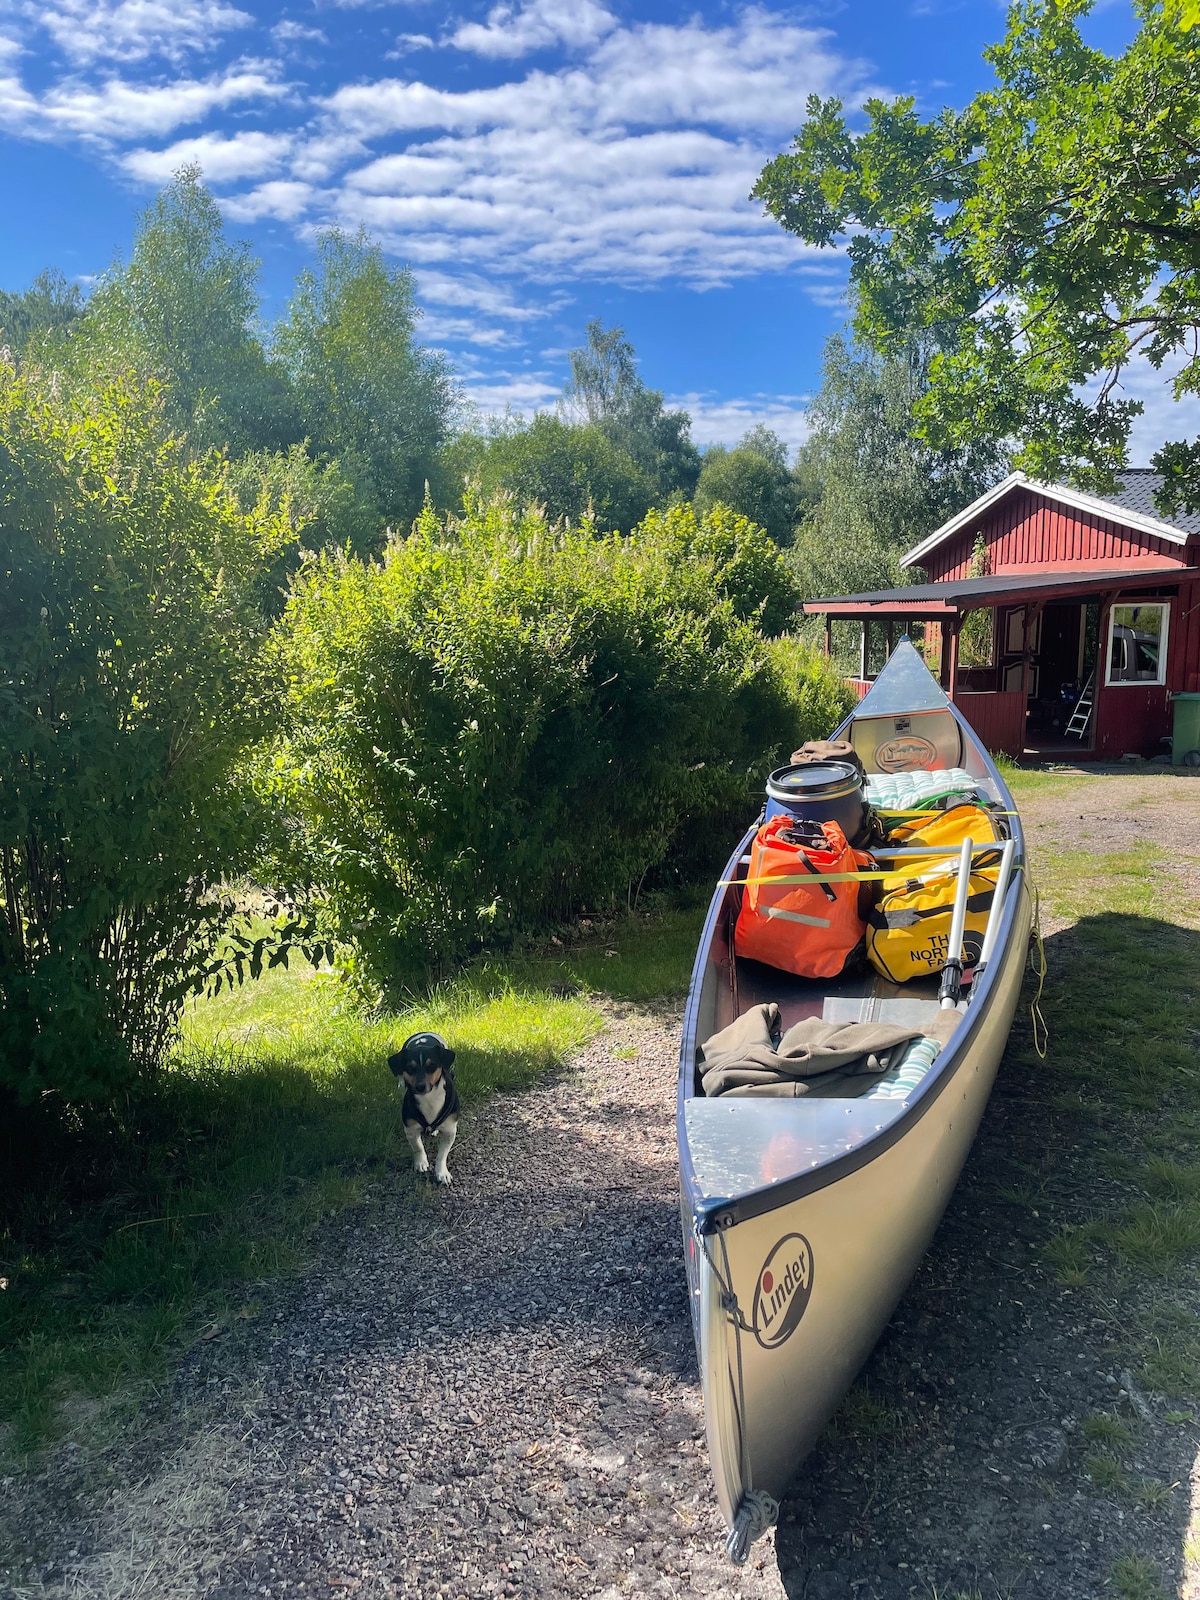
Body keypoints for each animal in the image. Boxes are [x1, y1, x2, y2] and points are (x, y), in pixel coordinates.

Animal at [390, 1030, 460, 1184]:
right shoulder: (410, 1128)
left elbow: (442, 1154)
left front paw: (442, 1173)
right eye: (410, 1068)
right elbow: (418, 1147)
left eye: (431, 1066)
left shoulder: (450, 1131)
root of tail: (424, 1033)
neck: (429, 1098)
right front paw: (421, 1163)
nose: (420, 1086)